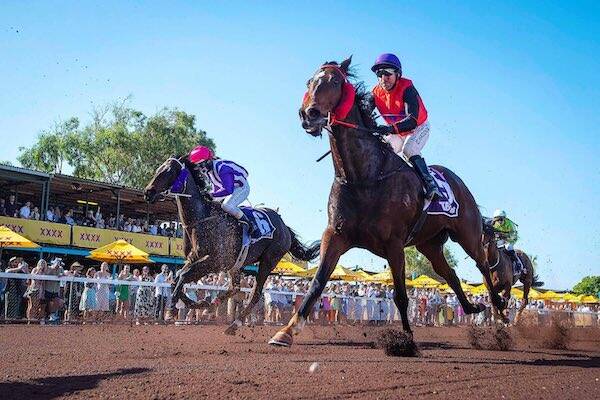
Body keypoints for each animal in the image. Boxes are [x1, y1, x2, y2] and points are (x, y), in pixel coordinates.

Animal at [144, 156, 322, 334]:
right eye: (158, 169)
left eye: (169, 171)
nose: (147, 192)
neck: (201, 220)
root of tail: (285, 227)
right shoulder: (195, 259)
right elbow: (177, 279)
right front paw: (200, 303)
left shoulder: (214, 261)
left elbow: (183, 276)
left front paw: (170, 311)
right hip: (237, 263)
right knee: (235, 288)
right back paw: (215, 304)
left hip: (269, 260)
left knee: (255, 293)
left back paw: (234, 324)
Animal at [270, 57, 504, 346]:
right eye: (309, 81)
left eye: (334, 81)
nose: (308, 114)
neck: (363, 177)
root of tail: (458, 182)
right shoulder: (335, 235)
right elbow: (317, 282)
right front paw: (287, 330)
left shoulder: (394, 244)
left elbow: (401, 296)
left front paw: (406, 339)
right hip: (430, 244)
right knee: (449, 273)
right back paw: (473, 307)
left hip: (467, 234)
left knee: (482, 265)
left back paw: (500, 308)